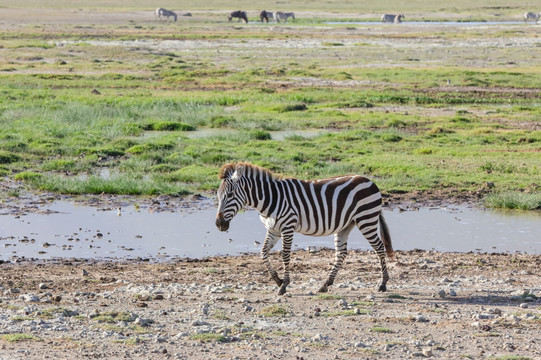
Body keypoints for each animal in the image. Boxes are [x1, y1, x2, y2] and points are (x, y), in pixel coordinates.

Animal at [214, 163, 392, 296]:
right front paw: (277, 280)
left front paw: (284, 285)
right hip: (346, 225)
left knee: (379, 247)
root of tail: (370, 181)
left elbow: (285, 255)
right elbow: (263, 252)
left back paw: (383, 283)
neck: (270, 199)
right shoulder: (273, 230)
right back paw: (325, 284)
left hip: (366, 219)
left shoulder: (288, 226)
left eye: (230, 195)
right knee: (341, 253)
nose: (219, 224)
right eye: (218, 196)